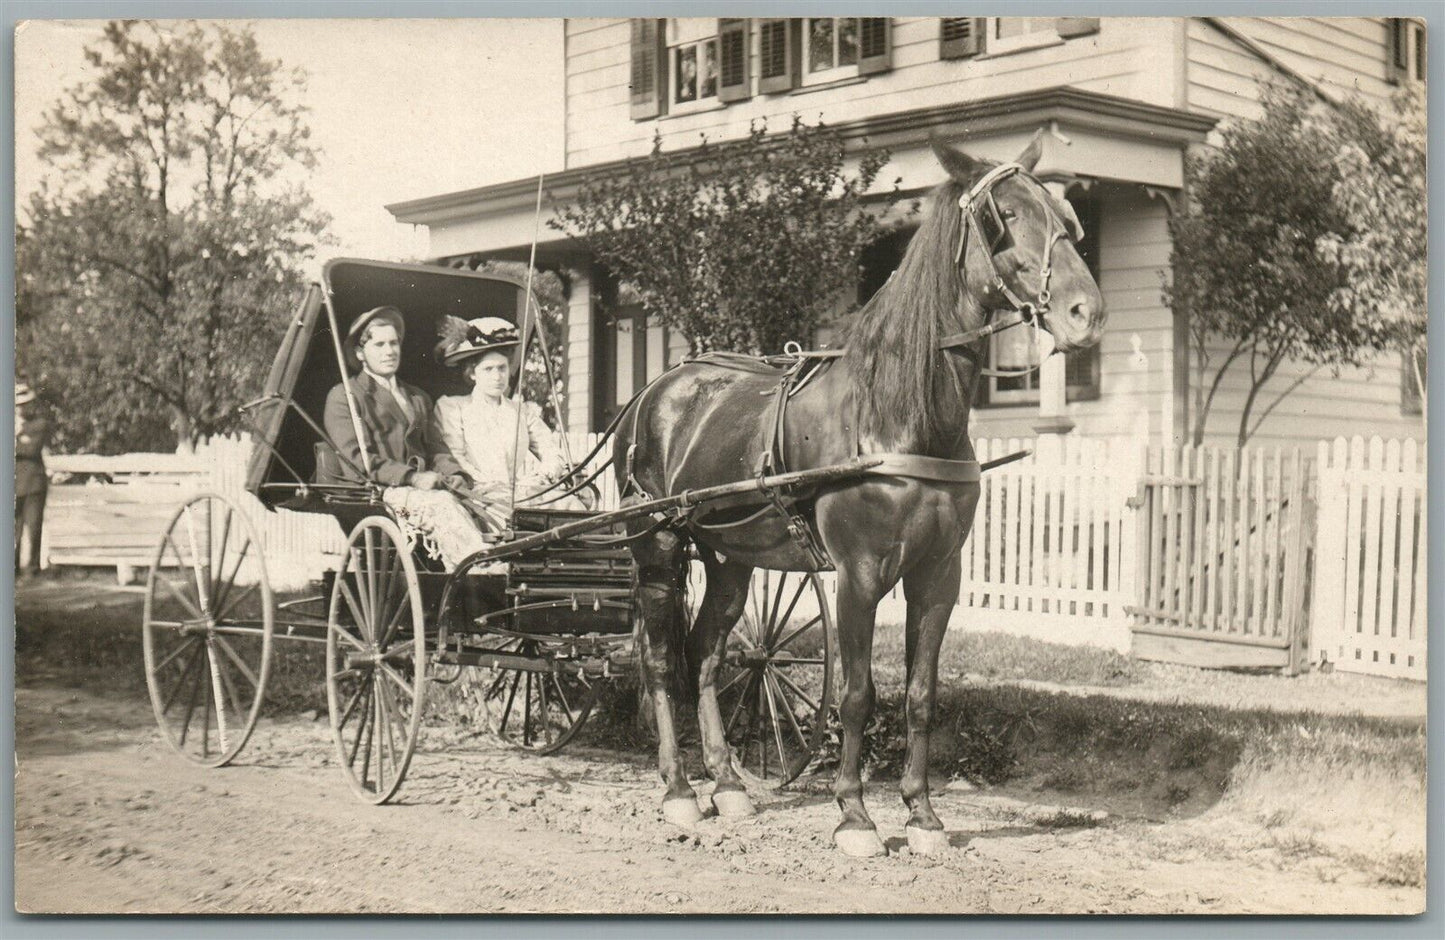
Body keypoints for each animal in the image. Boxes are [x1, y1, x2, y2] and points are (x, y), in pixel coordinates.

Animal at [609, 135, 1103, 854]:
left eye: (1065, 213)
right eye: (1005, 215)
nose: (1085, 313)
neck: (898, 417)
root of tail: (655, 391)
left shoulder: (938, 574)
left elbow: (921, 694)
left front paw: (922, 815)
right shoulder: (858, 574)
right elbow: (856, 693)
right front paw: (854, 815)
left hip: (729, 559)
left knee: (704, 656)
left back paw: (726, 784)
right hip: (658, 547)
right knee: (658, 662)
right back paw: (677, 790)